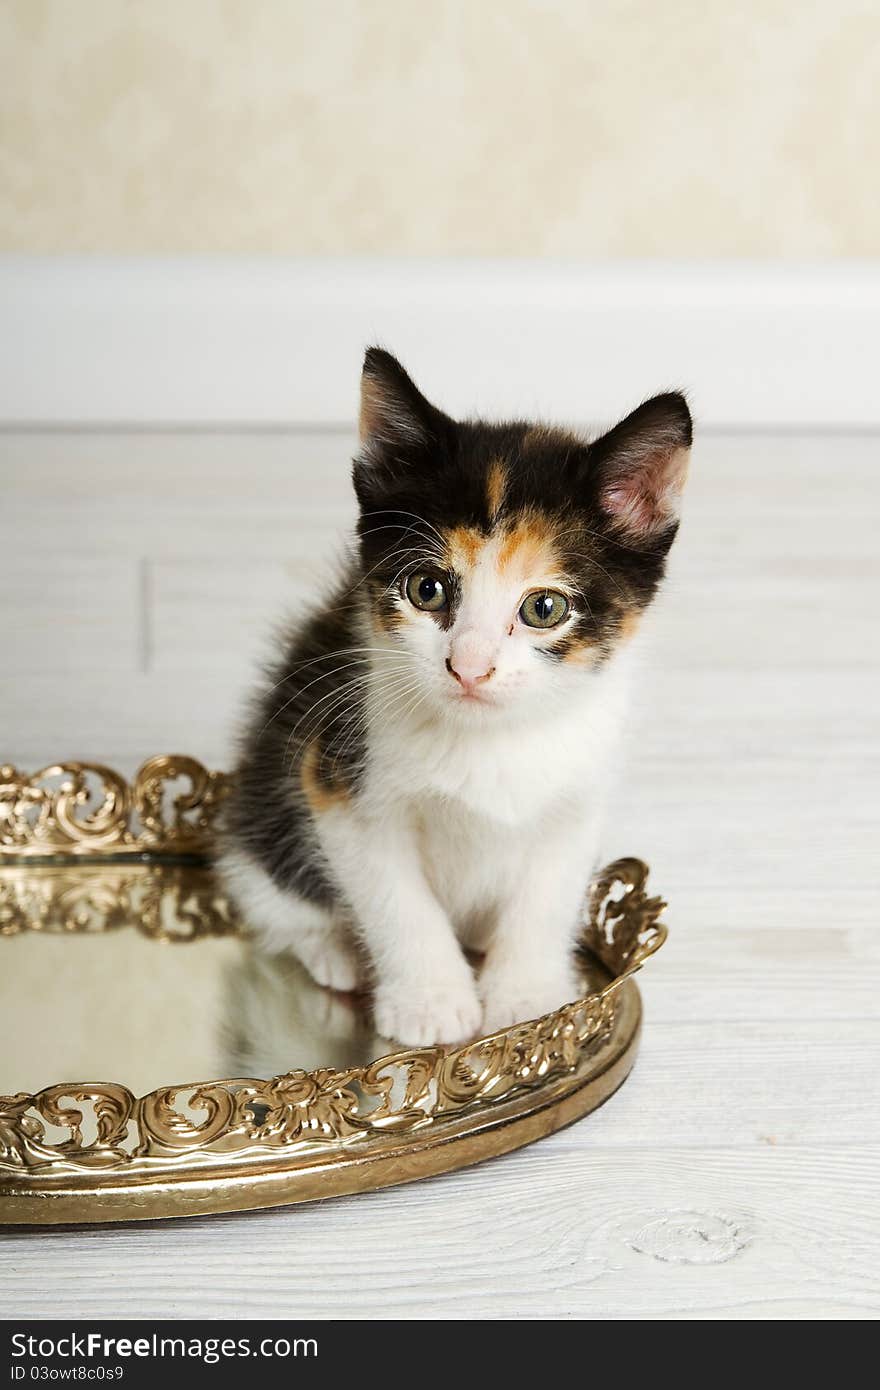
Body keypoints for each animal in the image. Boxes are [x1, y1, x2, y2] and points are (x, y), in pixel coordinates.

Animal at [216, 347, 689, 1045]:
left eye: (544, 608)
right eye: (427, 589)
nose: (469, 666)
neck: (490, 738)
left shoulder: (579, 791)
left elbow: (547, 894)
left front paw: (529, 999)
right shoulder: (336, 778)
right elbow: (397, 898)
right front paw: (430, 1002)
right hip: (262, 816)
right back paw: (335, 950)